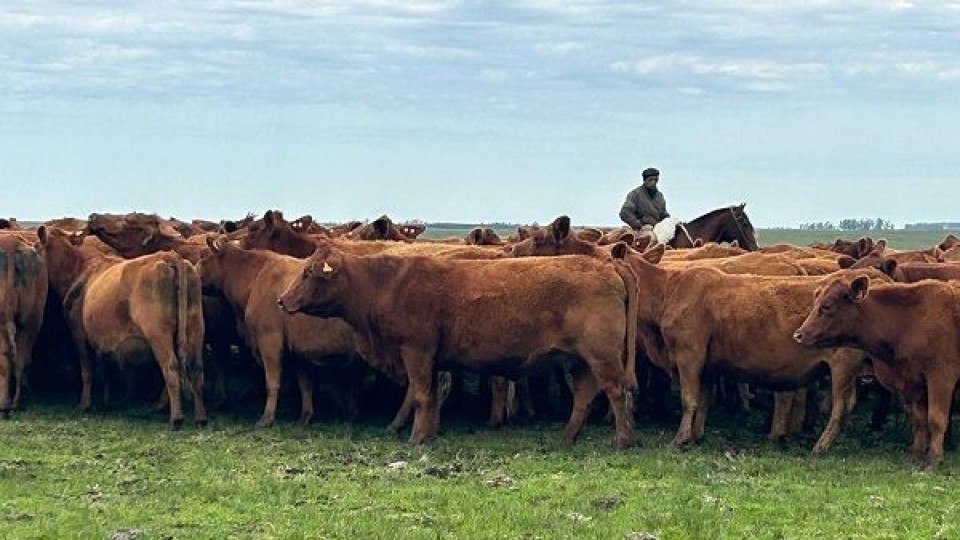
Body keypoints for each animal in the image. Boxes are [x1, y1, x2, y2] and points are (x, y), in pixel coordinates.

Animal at [36, 226, 206, 428]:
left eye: (35, 247)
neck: (81, 268)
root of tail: (170, 256)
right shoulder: (102, 341)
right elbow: (105, 370)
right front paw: (107, 402)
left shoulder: (79, 334)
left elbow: (87, 369)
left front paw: (85, 404)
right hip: (195, 328)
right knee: (196, 368)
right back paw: (199, 417)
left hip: (158, 333)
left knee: (170, 366)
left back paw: (176, 418)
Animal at [792, 274, 960, 468]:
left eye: (827, 306)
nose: (798, 335)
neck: (908, 321)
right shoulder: (913, 382)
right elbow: (919, 420)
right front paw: (916, 456)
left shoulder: (940, 378)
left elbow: (936, 420)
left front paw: (933, 460)